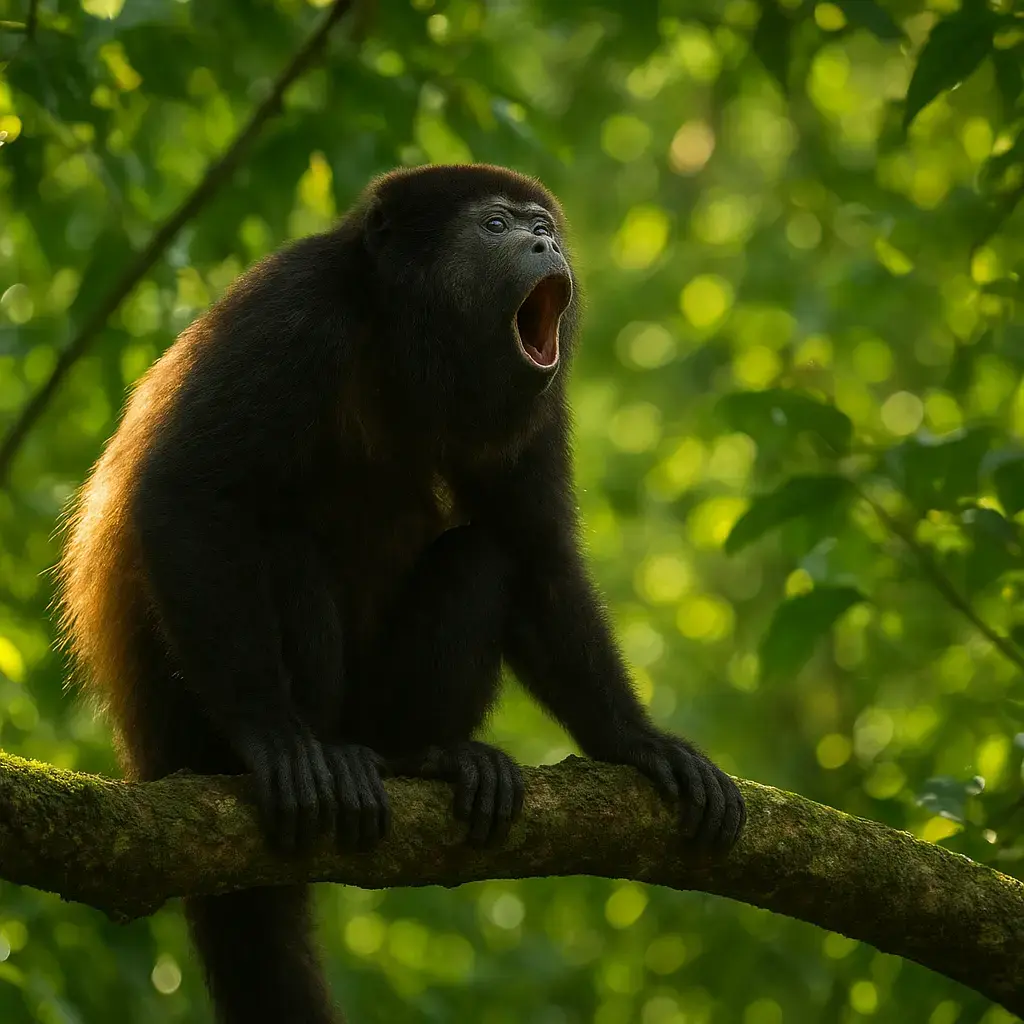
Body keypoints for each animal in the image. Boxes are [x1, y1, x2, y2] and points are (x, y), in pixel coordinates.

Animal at [57, 163, 745, 1024]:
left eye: (541, 225)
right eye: (495, 226)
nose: (546, 245)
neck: (402, 336)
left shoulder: (539, 397)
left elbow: (537, 551)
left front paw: (637, 742)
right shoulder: (293, 313)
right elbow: (189, 491)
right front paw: (272, 737)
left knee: (484, 554)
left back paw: (426, 756)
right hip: (189, 725)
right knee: (277, 540)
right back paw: (326, 754)